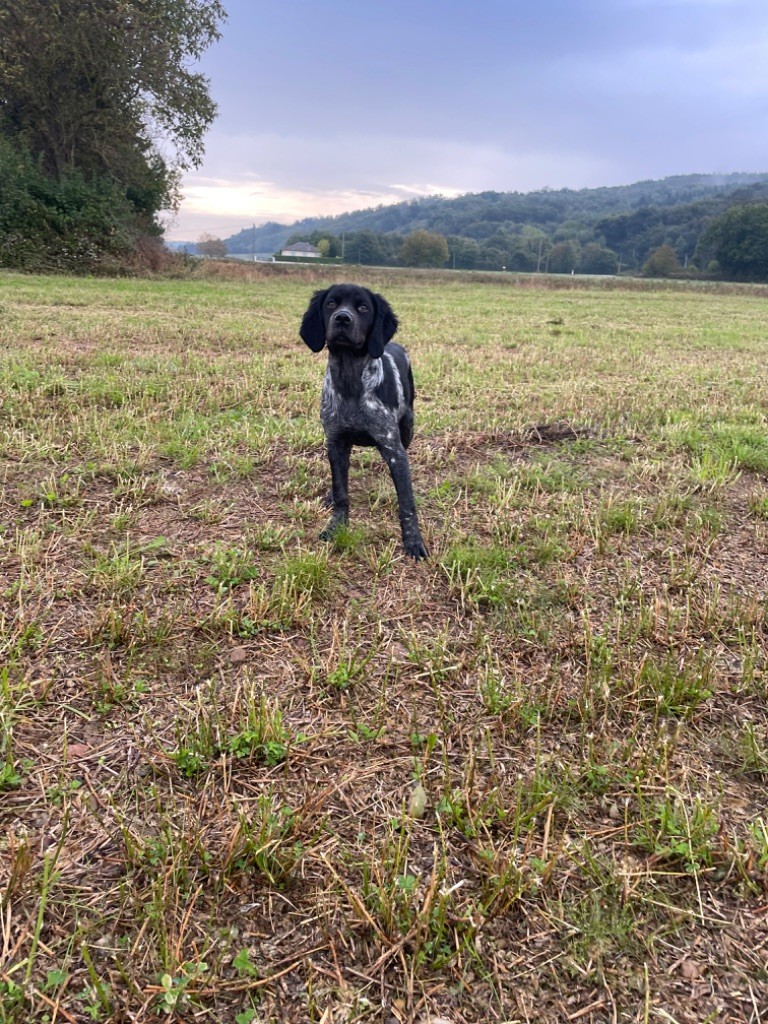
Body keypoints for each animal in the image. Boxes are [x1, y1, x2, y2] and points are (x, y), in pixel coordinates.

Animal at [301, 284, 430, 561]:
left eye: (363, 308)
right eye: (331, 303)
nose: (342, 318)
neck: (350, 381)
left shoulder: (393, 447)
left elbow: (407, 502)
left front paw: (413, 541)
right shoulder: (336, 442)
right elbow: (341, 491)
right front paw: (336, 526)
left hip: (407, 427)